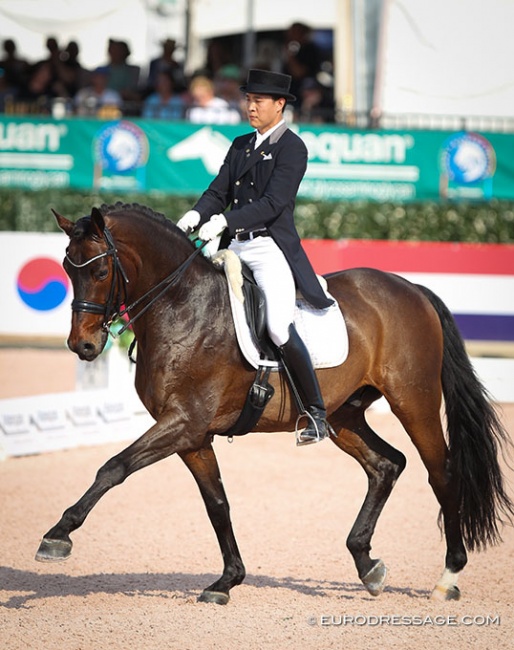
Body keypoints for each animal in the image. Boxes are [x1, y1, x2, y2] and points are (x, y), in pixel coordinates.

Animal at [34, 201, 510, 604]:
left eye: (99, 271)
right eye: (66, 268)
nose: (83, 346)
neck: (182, 306)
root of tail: (410, 287)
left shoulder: (183, 423)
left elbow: (113, 467)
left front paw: (57, 535)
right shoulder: (192, 434)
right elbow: (217, 503)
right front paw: (227, 581)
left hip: (415, 401)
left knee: (441, 473)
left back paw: (448, 578)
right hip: (344, 415)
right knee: (386, 465)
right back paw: (367, 564)